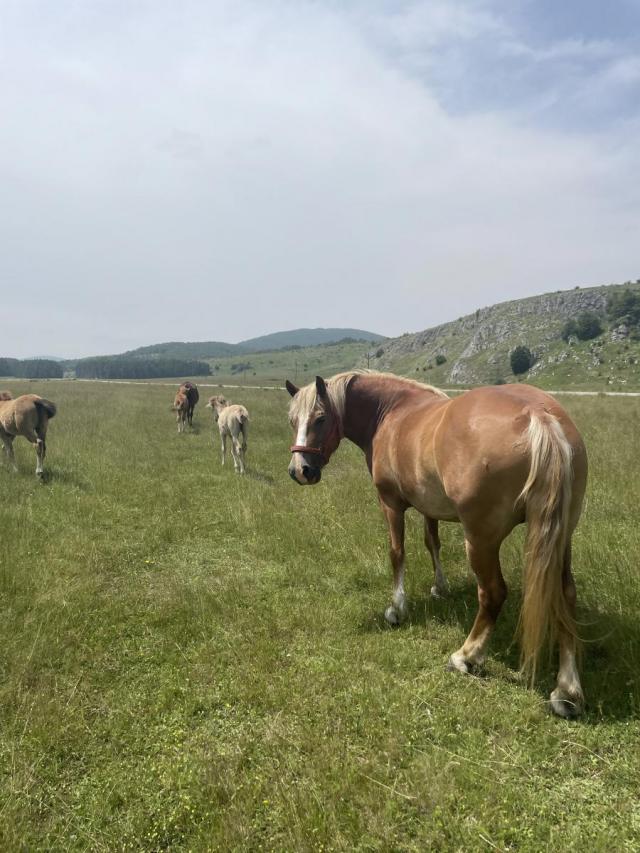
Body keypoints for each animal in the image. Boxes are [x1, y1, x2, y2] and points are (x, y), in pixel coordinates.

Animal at [288, 370, 588, 716]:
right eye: (292, 420)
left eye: (320, 418)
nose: (299, 471)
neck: (392, 412)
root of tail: (538, 415)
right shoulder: (428, 506)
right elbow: (432, 542)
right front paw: (439, 587)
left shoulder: (390, 503)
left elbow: (397, 553)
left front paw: (397, 609)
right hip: (561, 537)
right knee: (565, 594)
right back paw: (567, 690)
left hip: (480, 541)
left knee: (493, 593)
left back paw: (466, 656)